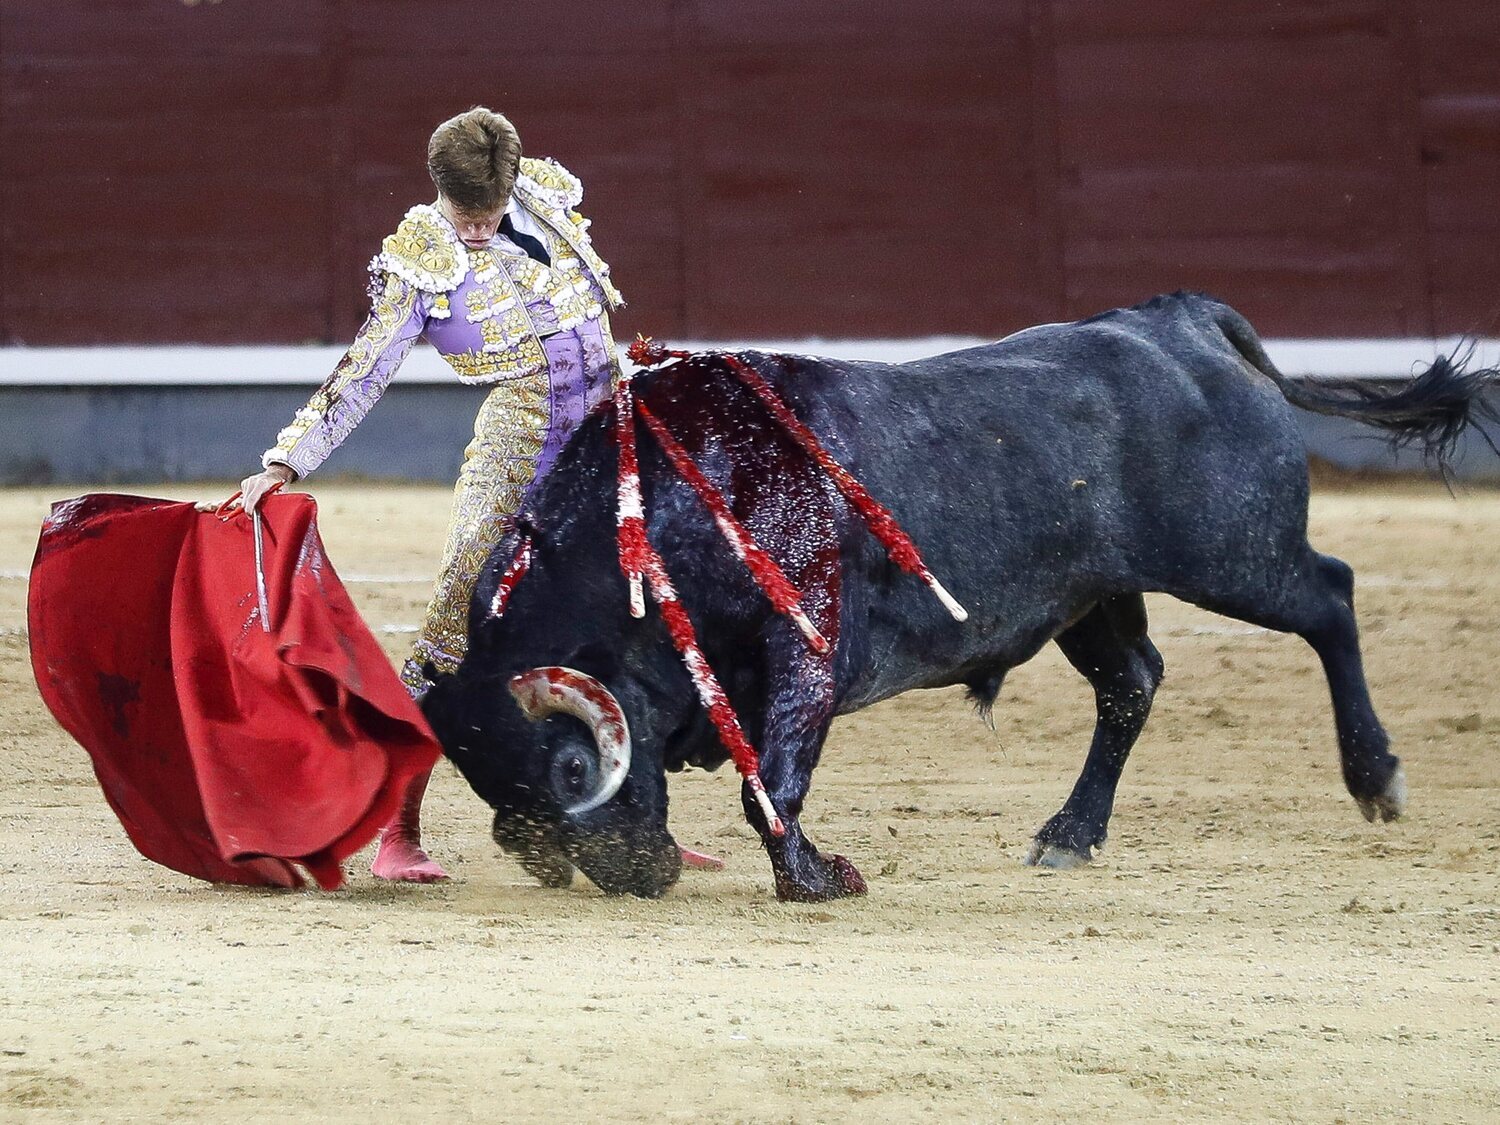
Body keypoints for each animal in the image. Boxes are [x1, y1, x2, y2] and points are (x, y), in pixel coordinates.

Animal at [423, 292, 1500, 906]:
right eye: (499, 799)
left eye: (571, 769)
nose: (632, 879)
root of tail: (1177, 320)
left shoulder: (807, 647)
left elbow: (773, 780)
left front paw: (816, 881)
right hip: (1088, 596)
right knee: (1134, 681)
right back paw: (1069, 835)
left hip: (1235, 554)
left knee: (1330, 599)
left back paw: (1377, 776)